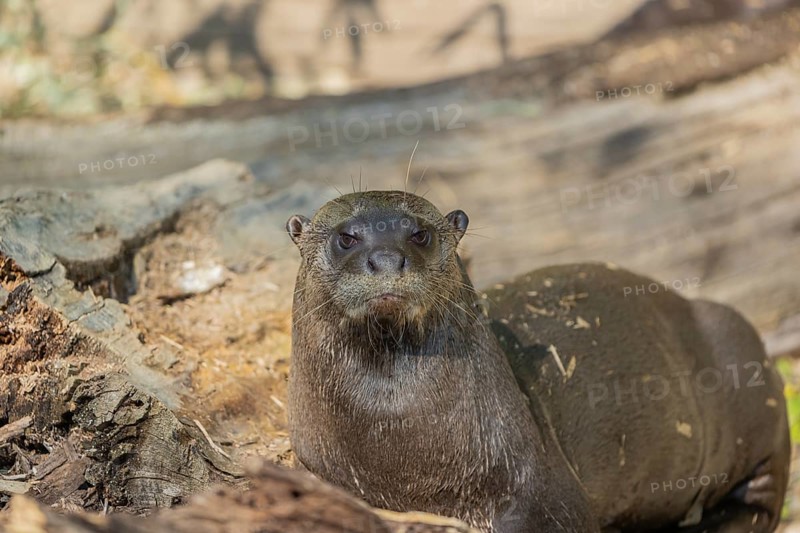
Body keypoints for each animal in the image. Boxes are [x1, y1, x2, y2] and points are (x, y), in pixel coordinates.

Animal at [285, 191, 789, 533]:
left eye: (420, 234)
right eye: (346, 237)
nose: (388, 258)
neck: (403, 460)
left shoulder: (538, 484)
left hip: (746, 368)